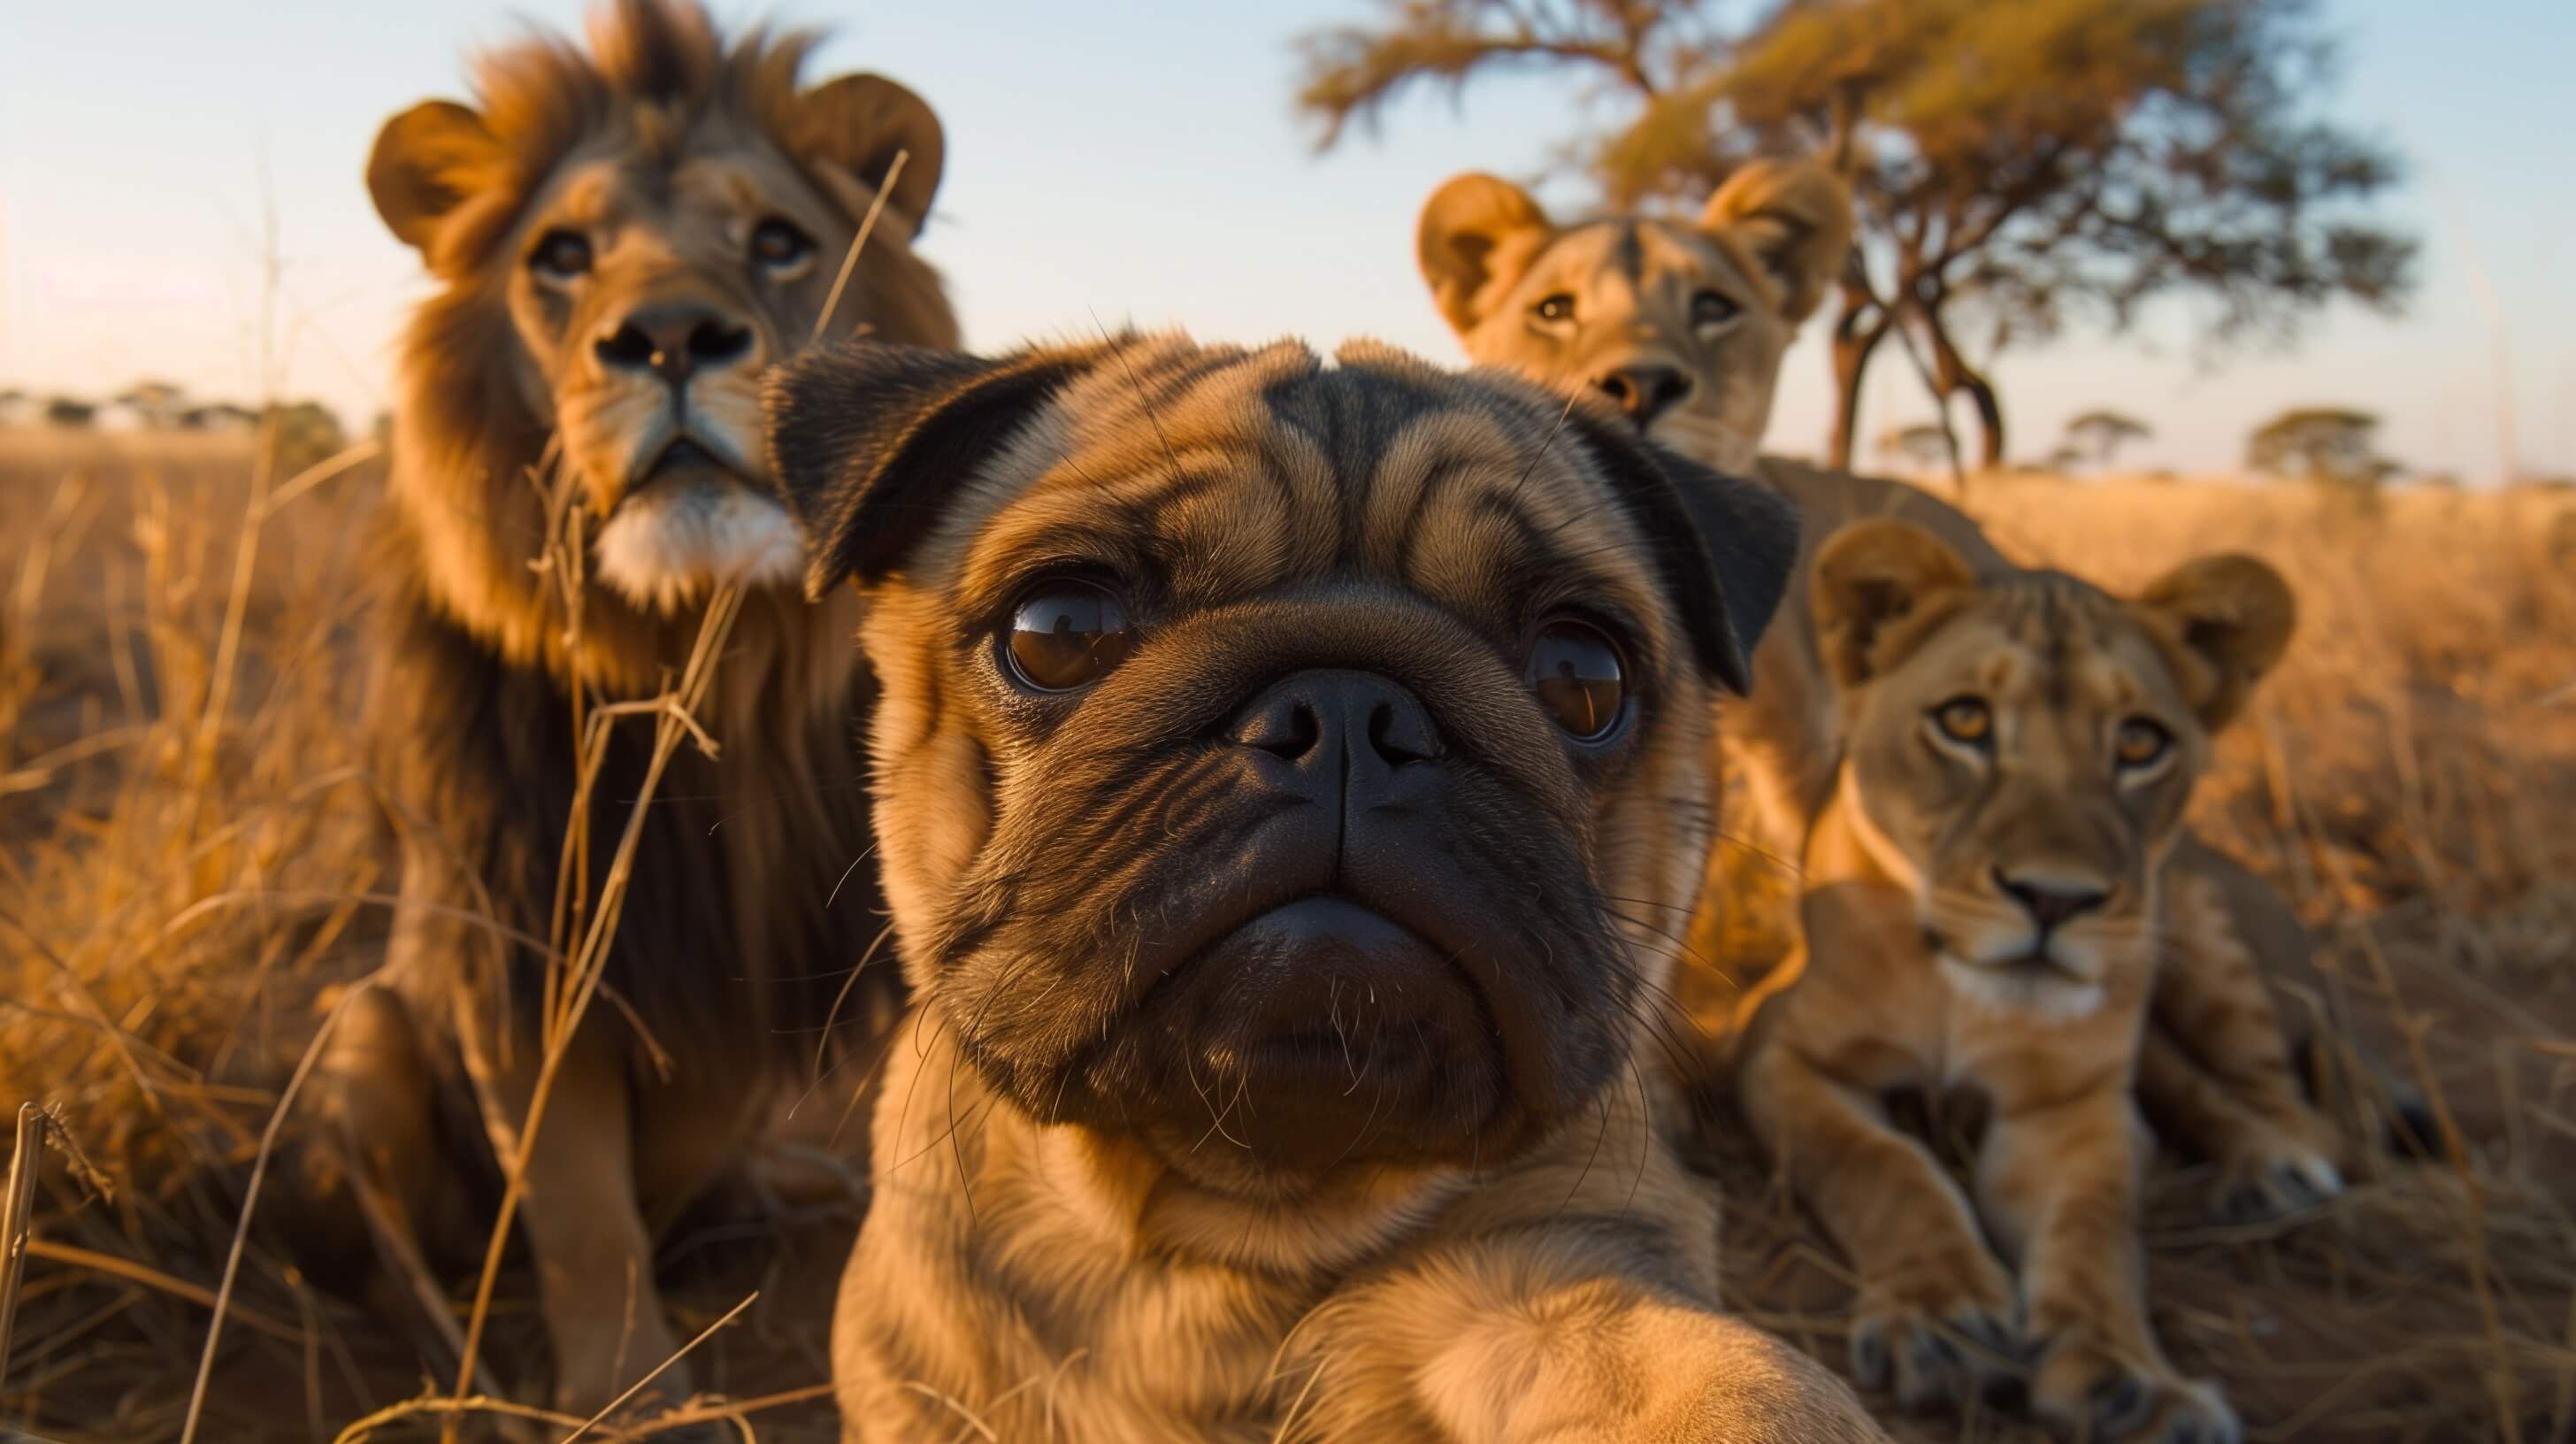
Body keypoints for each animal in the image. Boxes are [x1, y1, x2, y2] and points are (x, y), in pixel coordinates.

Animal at [295, 0, 958, 1423]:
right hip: (363, 1021)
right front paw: (631, 1402)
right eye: (563, 255)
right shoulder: (516, 947)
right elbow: (579, 1209)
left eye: (777, 241)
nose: (667, 338)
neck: (695, 650)